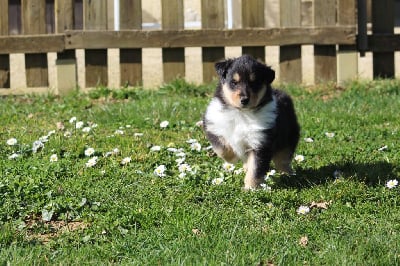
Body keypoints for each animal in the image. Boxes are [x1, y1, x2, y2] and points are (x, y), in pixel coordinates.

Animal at [203, 54, 300, 189]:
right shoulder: (213, 127)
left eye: (254, 83)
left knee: (283, 159)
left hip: (288, 137)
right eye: (234, 82)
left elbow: (256, 168)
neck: (241, 113)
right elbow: (222, 148)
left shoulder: (261, 143)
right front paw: (233, 158)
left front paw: (250, 188)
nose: (244, 100)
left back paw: (289, 175)